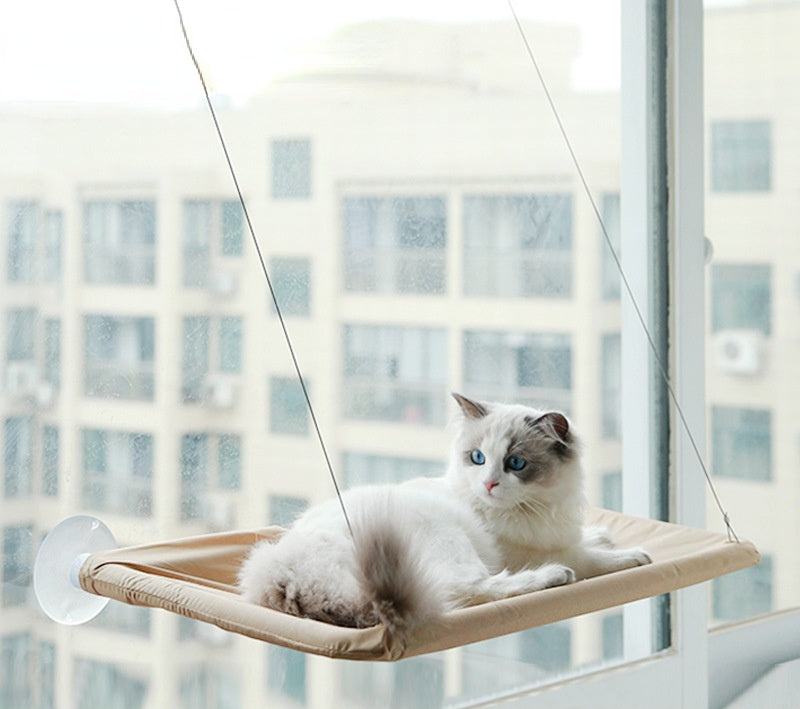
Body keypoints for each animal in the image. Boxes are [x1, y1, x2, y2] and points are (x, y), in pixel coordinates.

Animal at [238, 392, 648, 640]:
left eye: (516, 463)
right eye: (478, 458)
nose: (488, 484)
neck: (541, 507)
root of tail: (284, 571)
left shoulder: (561, 533)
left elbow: (589, 537)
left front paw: (603, 534)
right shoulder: (542, 551)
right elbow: (594, 558)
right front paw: (634, 555)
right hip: (445, 535)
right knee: (471, 588)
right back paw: (553, 577)